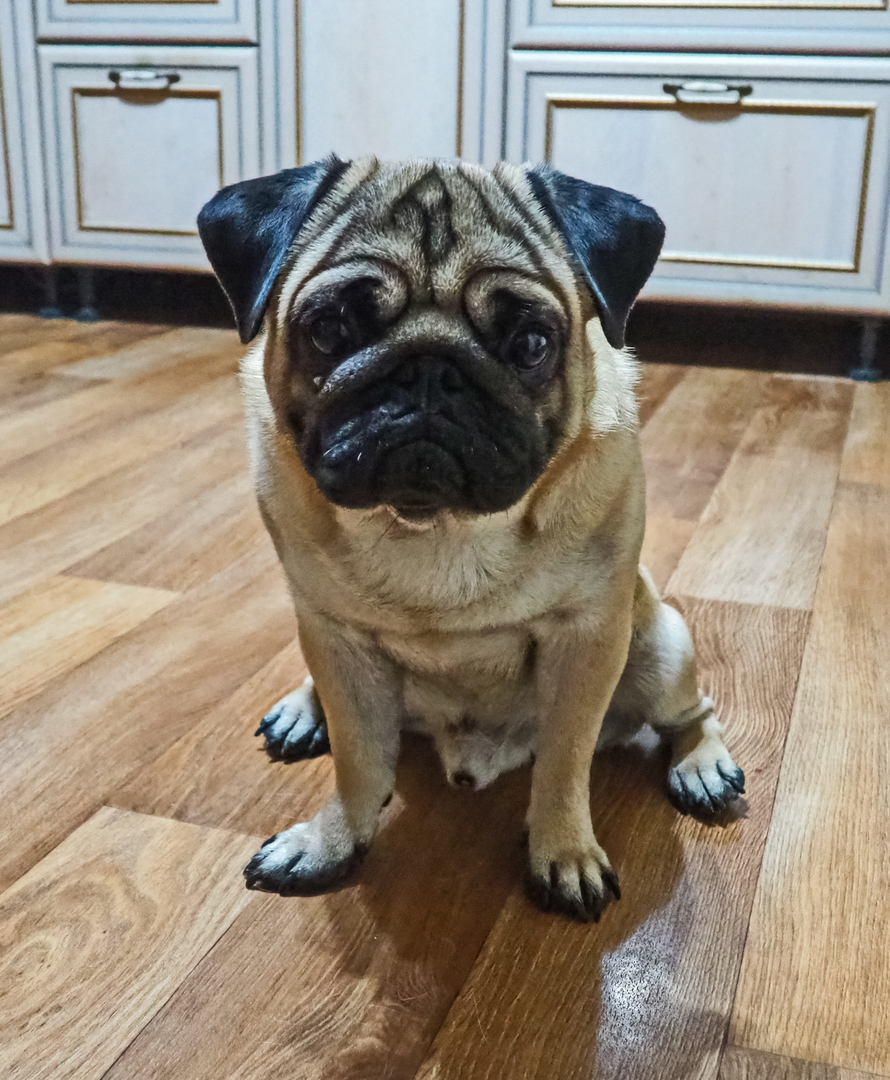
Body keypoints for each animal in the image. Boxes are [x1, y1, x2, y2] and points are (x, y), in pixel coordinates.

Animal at [197, 156, 745, 922]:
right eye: (330, 328)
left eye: (532, 344)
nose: (430, 367)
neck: (434, 525)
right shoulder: (338, 640)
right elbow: (359, 765)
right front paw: (331, 841)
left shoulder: (586, 641)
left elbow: (565, 763)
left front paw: (564, 852)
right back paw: (305, 709)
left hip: (659, 648)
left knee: (692, 713)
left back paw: (703, 766)